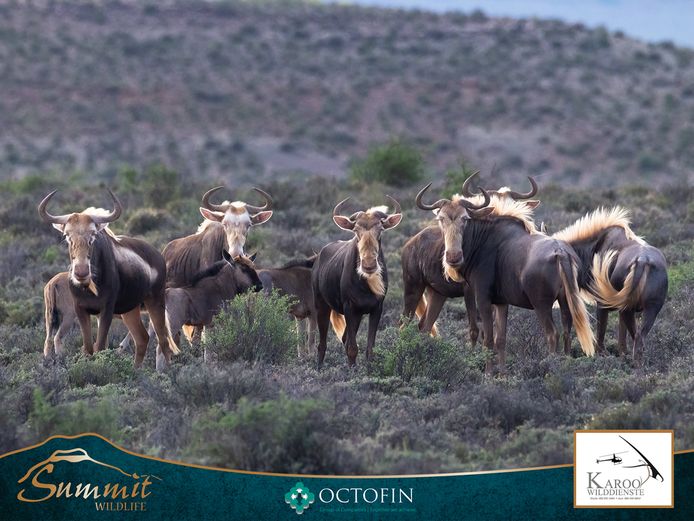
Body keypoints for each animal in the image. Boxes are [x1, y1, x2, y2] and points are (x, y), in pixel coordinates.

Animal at [38, 190, 179, 370]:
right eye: (67, 235)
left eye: (93, 235)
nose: (81, 272)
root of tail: (158, 255)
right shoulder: (82, 310)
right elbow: (89, 347)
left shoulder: (106, 311)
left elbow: (99, 346)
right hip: (129, 311)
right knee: (142, 338)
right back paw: (136, 370)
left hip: (155, 303)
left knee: (163, 340)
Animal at [312, 197, 402, 366]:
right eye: (356, 230)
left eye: (381, 230)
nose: (369, 265)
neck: (366, 285)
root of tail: (319, 257)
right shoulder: (349, 308)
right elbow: (352, 348)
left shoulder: (376, 309)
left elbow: (369, 349)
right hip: (322, 306)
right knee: (322, 344)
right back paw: (319, 367)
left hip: (357, 315)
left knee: (344, 338)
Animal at [403, 174, 540, 342]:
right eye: (441, 219)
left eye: (465, 218)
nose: (453, 257)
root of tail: (410, 244)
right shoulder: (469, 291)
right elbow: (475, 329)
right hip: (413, 289)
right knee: (403, 324)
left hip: (437, 294)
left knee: (424, 326)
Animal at [415, 184, 595, 374]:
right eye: (441, 219)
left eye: (465, 218)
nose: (453, 257)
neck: (484, 239)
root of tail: (560, 252)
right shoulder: (502, 303)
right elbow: (500, 339)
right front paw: (502, 374)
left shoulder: (483, 300)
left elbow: (488, 338)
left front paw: (488, 374)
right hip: (565, 301)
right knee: (567, 331)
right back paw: (566, 365)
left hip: (541, 305)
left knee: (552, 334)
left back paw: (551, 368)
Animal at [553, 207, 668, 362]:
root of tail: (642, 261)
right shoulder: (622, 309)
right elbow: (621, 336)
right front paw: (622, 354)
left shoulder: (602, 304)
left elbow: (601, 332)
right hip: (649, 308)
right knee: (639, 338)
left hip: (628, 308)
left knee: (636, 337)